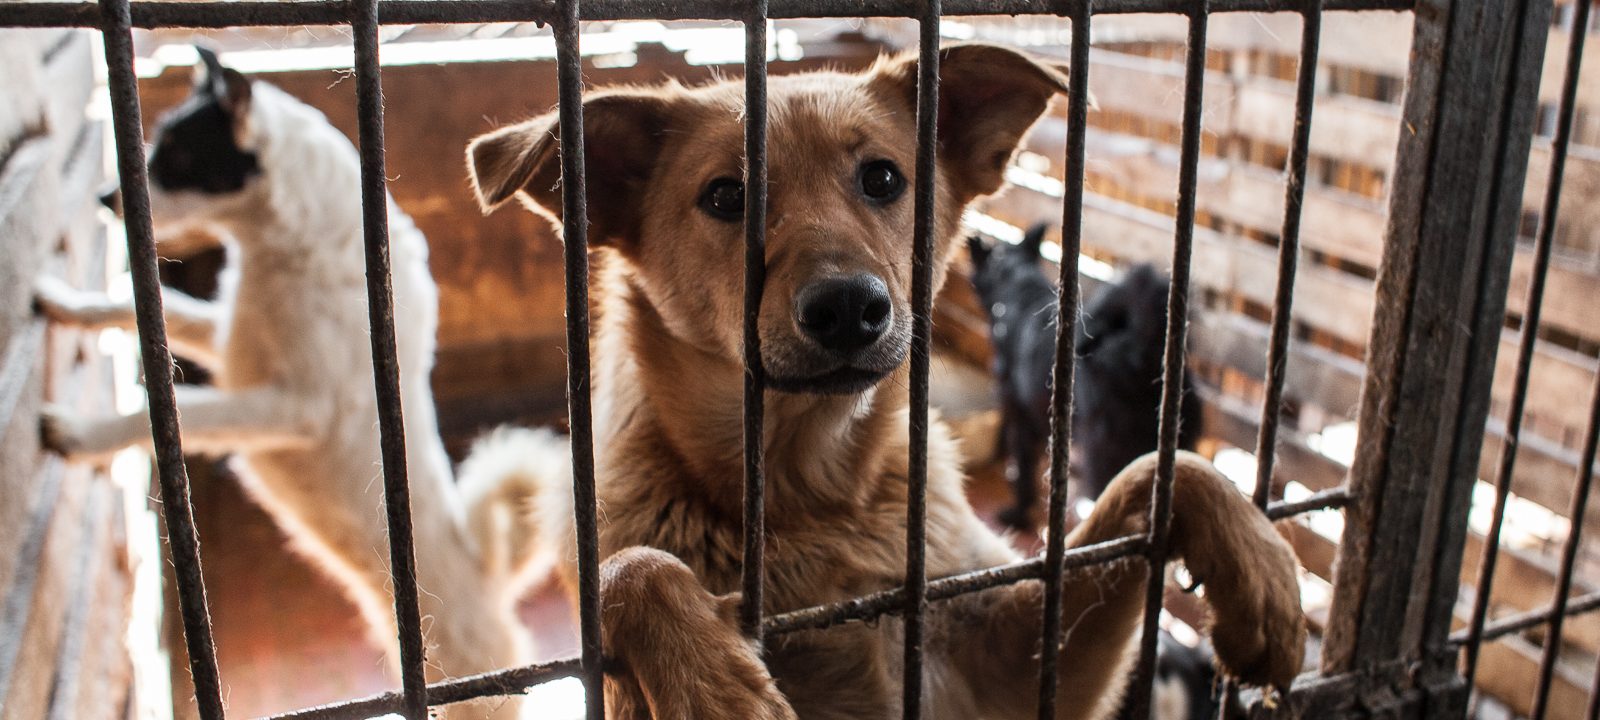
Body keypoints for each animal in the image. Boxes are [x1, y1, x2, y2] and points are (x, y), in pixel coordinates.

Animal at [36, 47, 550, 716]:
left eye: (176, 157)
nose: (104, 198)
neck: (293, 237)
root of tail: (490, 575)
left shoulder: (293, 408)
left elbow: (176, 412)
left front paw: (79, 433)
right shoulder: (231, 350)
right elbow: (132, 307)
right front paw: (65, 304)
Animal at [960, 227, 1203, 524]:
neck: (1018, 290)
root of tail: (1141, 353)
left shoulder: (1019, 413)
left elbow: (1023, 467)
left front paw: (1017, 512)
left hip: (1105, 458)